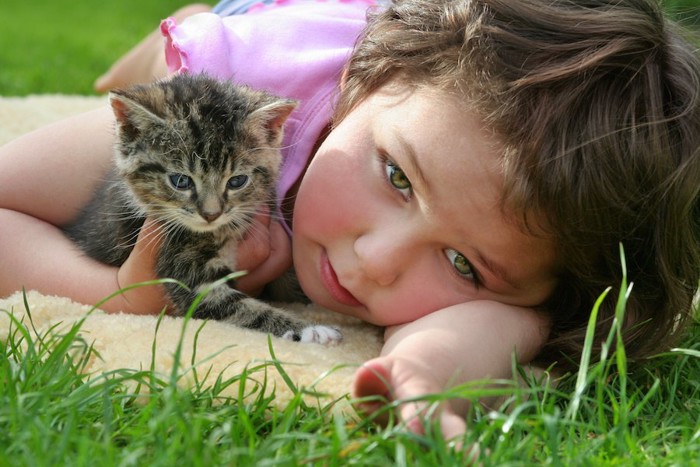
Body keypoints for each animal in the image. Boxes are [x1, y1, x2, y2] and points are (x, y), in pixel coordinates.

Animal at [63, 72, 342, 344]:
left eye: (237, 181)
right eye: (181, 181)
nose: (211, 214)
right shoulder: (185, 270)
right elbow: (242, 308)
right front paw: (308, 329)